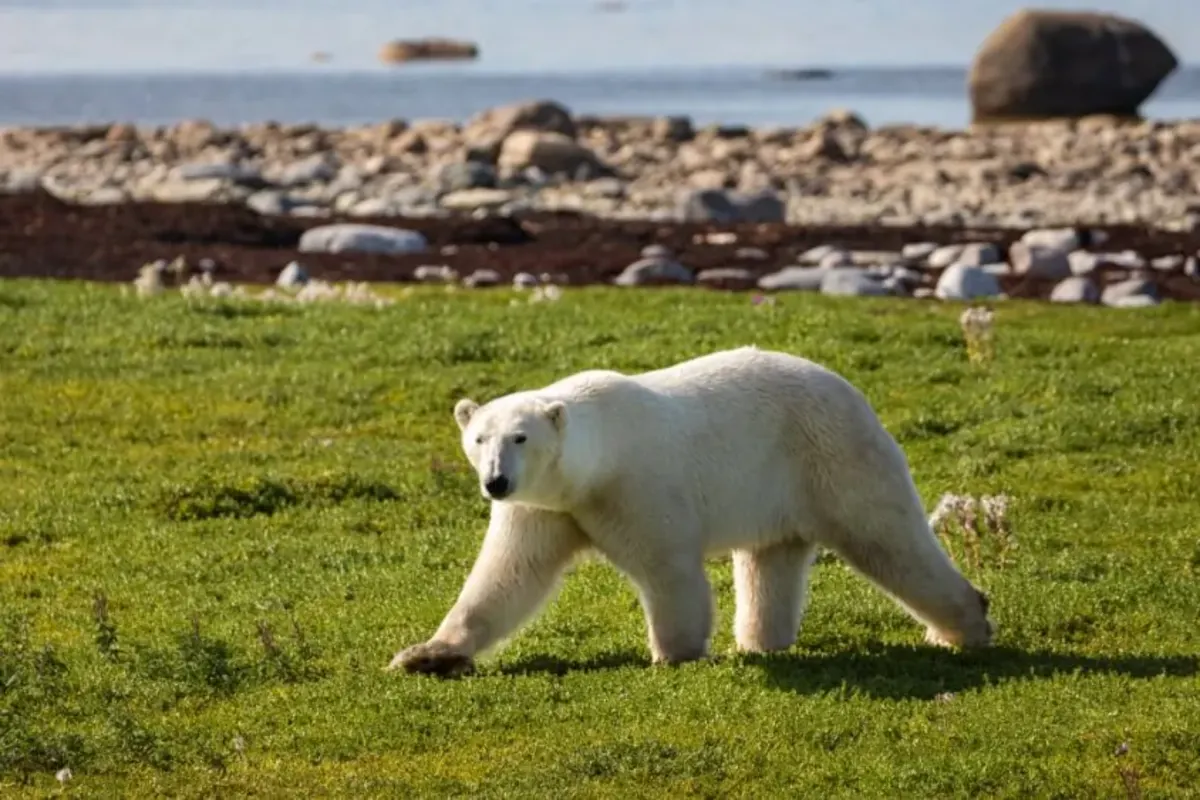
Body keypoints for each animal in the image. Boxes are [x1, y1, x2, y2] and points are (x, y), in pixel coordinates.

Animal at [389, 346, 995, 677]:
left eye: (520, 437)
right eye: (479, 438)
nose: (496, 482)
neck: (594, 460)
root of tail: (851, 391)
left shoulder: (635, 486)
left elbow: (668, 568)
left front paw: (673, 654)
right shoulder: (545, 506)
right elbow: (507, 577)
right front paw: (426, 655)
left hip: (831, 454)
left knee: (886, 536)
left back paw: (964, 625)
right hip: (776, 485)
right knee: (770, 560)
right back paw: (760, 641)